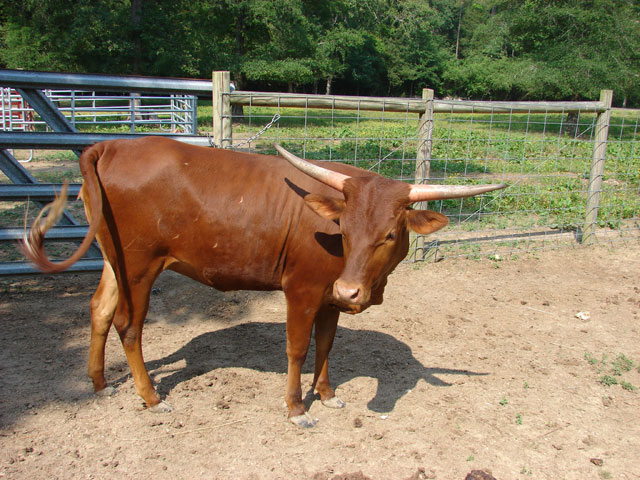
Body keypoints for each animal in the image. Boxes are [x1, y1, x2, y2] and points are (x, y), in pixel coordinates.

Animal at [22, 136, 504, 428]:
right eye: (345, 230)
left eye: (389, 234)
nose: (351, 291)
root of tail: (112, 143)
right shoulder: (302, 290)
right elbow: (297, 348)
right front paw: (296, 408)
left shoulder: (328, 298)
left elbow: (326, 345)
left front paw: (326, 394)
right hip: (140, 266)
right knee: (129, 324)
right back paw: (152, 397)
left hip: (114, 259)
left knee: (100, 309)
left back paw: (99, 382)